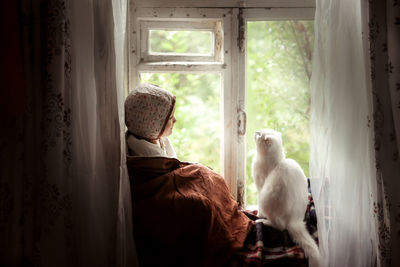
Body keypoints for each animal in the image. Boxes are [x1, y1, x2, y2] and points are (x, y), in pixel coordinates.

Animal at [253, 129, 322, 266]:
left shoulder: (260, 188)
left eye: (259, 134)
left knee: (280, 227)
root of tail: (295, 222)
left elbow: (259, 209)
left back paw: (261, 221)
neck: (276, 161)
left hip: (266, 199)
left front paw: (258, 215)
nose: (255, 132)